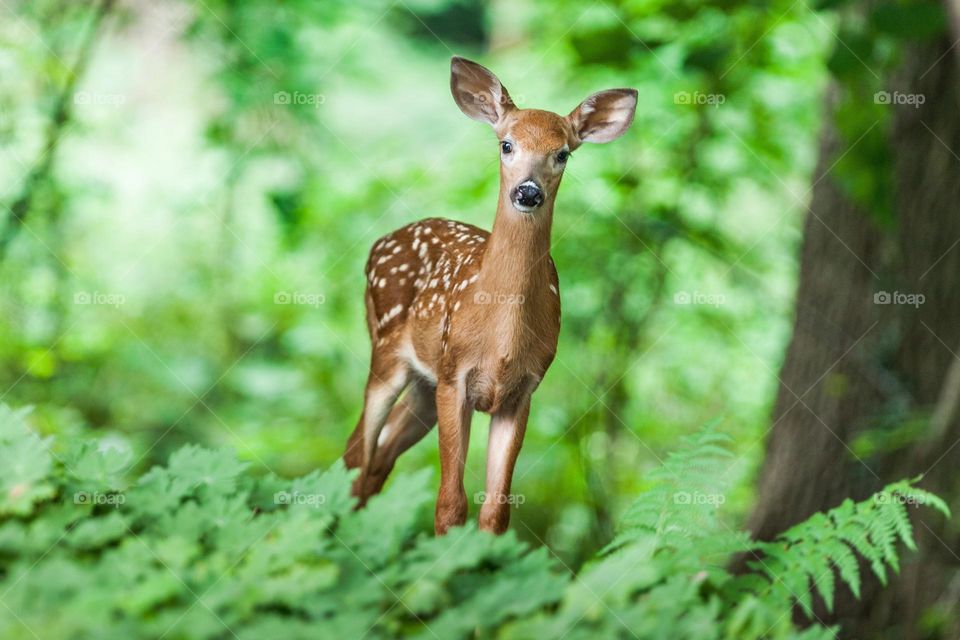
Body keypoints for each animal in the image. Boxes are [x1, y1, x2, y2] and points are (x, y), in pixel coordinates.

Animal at [343, 56, 637, 535]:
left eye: (563, 153)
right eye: (506, 144)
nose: (528, 191)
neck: (500, 338)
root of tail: (378, 243)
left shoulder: (522, 391)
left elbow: (496, 509)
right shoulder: (455, 376)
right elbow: (450, 503)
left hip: (423, 385)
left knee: (378, 458)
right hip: (387, 352)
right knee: (357, 452)